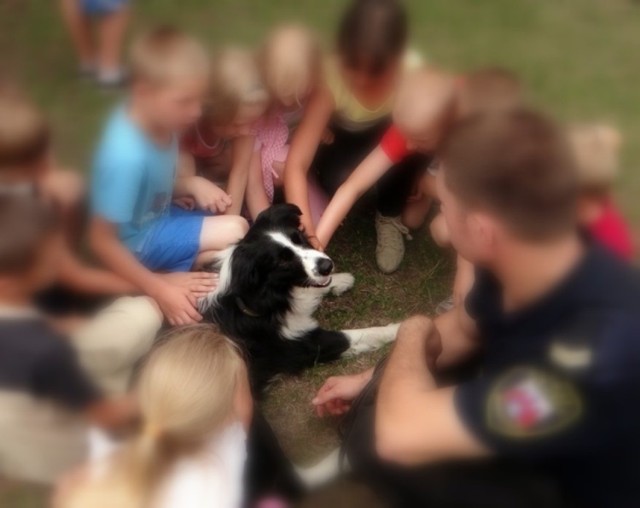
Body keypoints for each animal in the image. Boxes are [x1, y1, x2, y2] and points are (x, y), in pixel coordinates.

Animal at [201, 204, 400, 390]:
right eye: (282, 261)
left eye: (298, 238)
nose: (327, 266)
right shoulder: (306, 344)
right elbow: (361, 334)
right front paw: (398, 328)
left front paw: (341, 280)